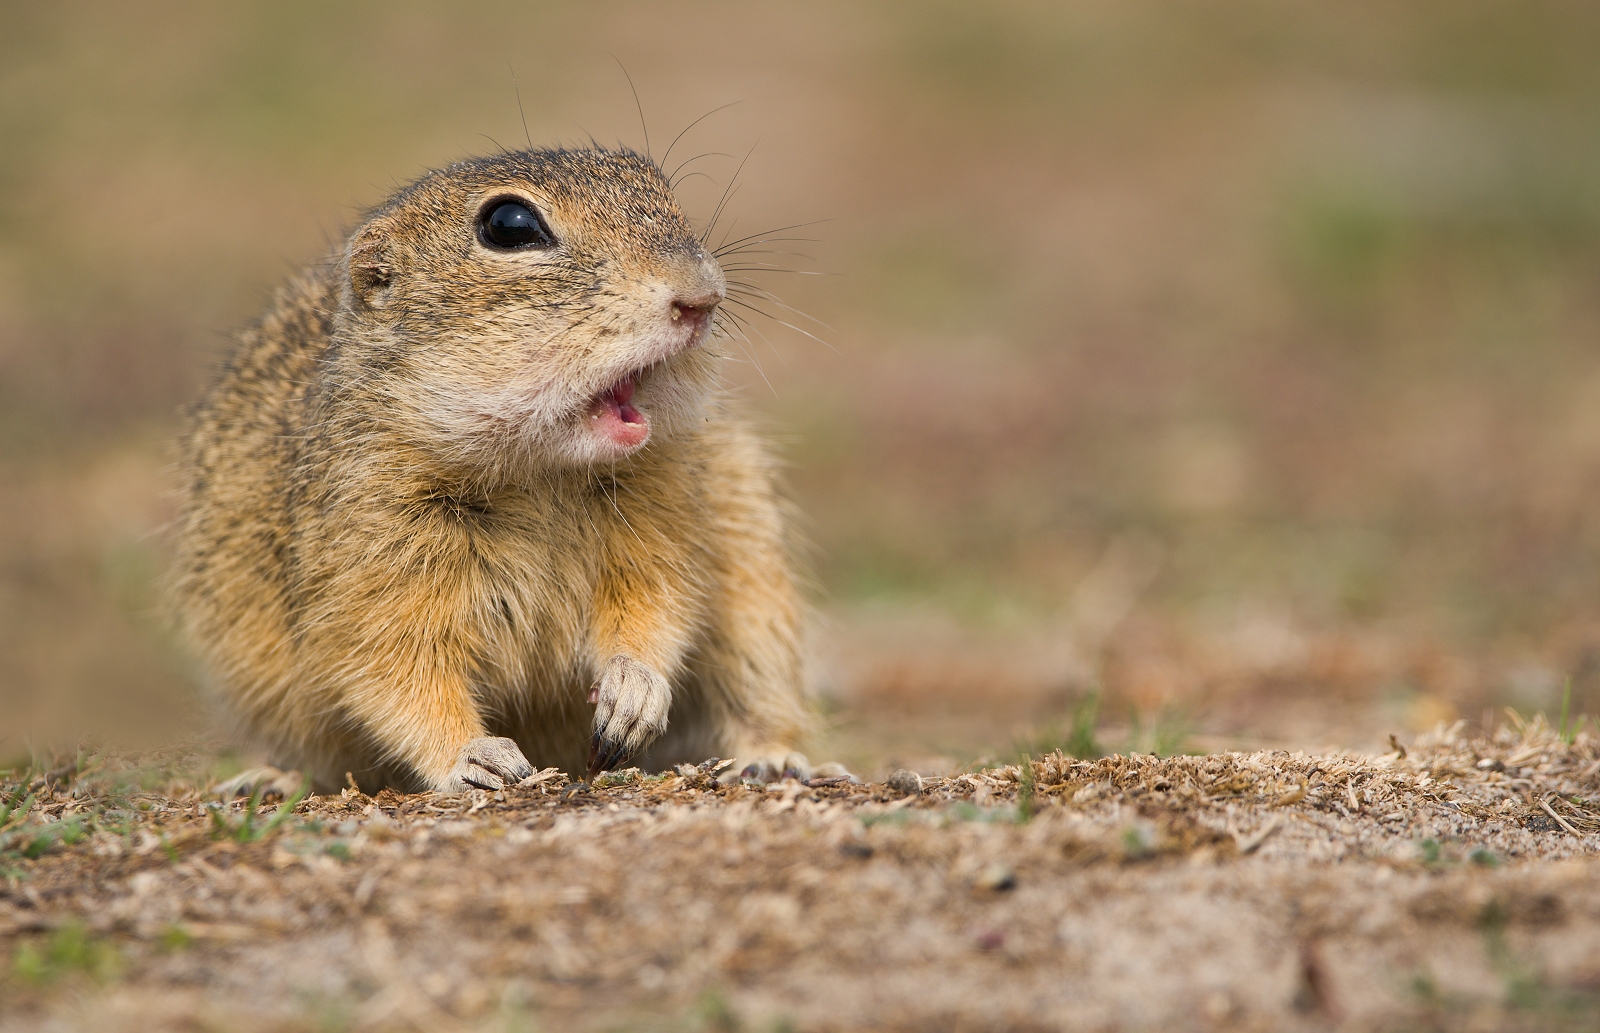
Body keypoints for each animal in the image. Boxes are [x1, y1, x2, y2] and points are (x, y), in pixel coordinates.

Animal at [169, 146, 836, 793]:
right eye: (510, 226)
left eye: (657, 185)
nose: (701, 295)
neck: (540, 474)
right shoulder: (367, 557)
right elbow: (392, 672)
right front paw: (475, 757)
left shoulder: (663, 513)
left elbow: (657, 605)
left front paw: (633, 691)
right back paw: (268, 779)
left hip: (758, 591)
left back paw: (773, 761)